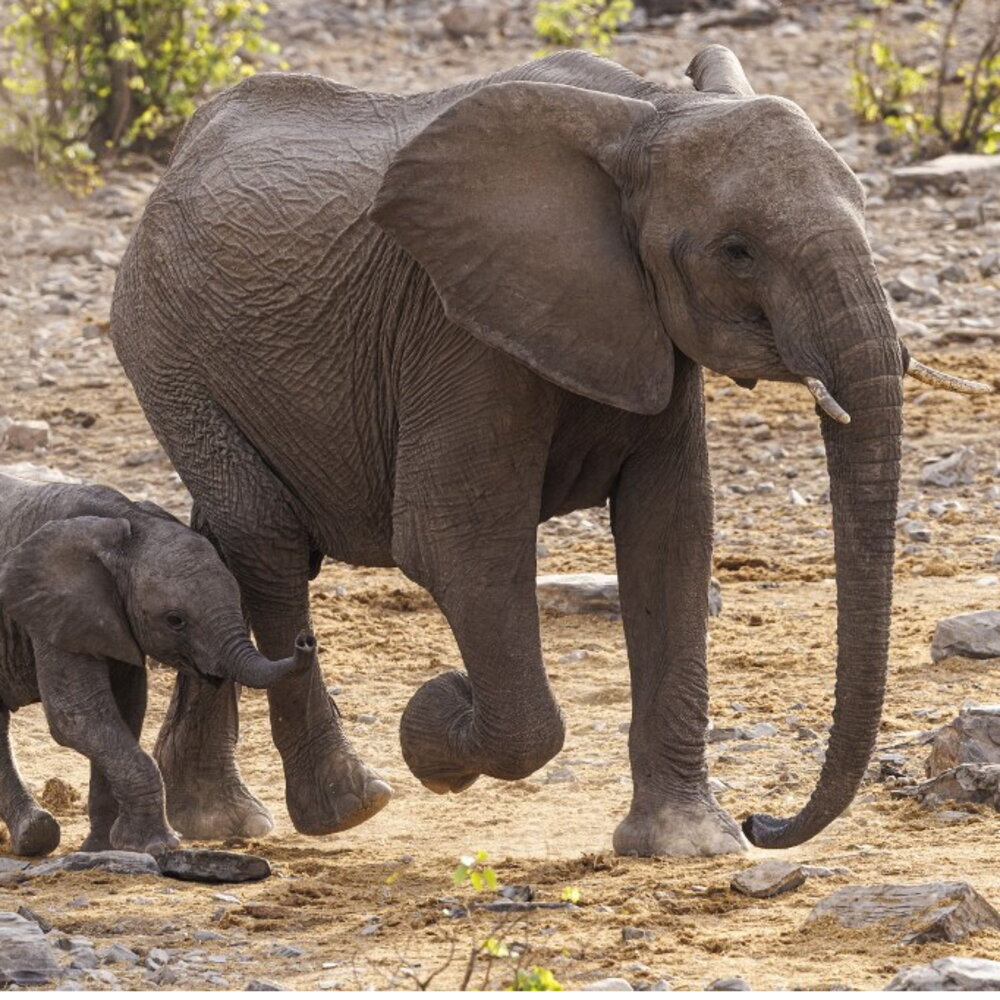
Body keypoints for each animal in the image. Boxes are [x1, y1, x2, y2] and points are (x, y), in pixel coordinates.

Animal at [0, 472, 316, 856]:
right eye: (175, 620)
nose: (305, 641)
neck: (125, 520)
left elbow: (125, 710)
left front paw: (104, 849)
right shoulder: (51, 609)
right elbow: (77, 717)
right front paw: (156, 846)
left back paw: (34, 837)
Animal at [109, 41, 984, 852]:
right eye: (738, 250)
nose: (764, 822)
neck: (649, 110)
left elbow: (671, 535)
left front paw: (688, 843)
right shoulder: (458, 330)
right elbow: (456, 544)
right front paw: (435, 720)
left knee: (223, 539)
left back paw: (218, 818)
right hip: (166, 343)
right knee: (270, 541)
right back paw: (347, 806)